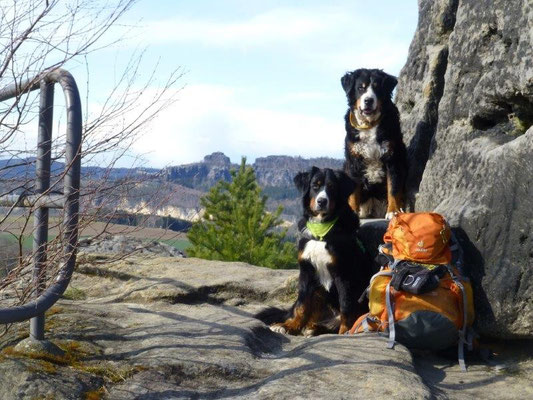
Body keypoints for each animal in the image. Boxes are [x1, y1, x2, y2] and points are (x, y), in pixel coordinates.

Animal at [256, 167, 372, 336]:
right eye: (315, 186)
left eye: (332, 187)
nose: (322, 201)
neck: (321, 232)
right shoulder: (306, 271)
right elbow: (302, 305)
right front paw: (292, 326)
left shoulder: (343, 275)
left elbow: (346, 306)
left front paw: (345, 332)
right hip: (319, 291)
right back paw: (296, 325)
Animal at [340, 68, 408, 219]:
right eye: (361, 88)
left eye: (377, 88)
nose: (368, 100)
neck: (369, 125)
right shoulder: (354, 160)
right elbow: (353, 193)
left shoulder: (392, 157)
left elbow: (393, 188)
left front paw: (393, 211)